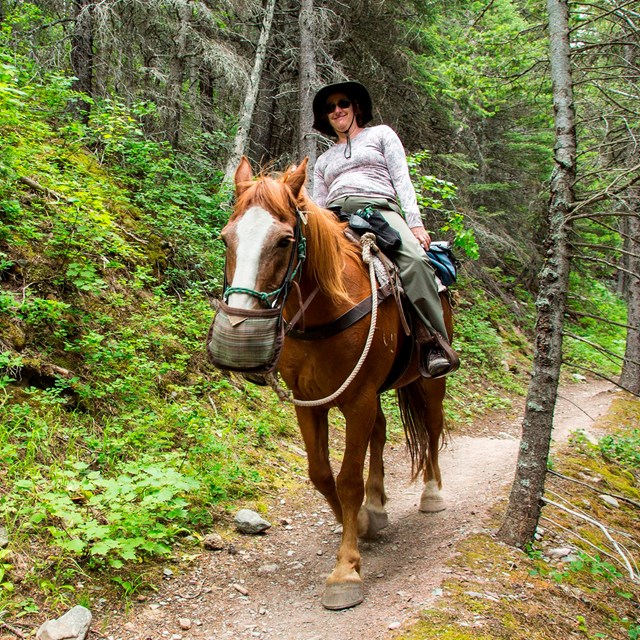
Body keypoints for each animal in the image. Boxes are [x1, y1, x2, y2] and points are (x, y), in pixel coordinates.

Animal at [212, 158, 452, 612]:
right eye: (226, 238)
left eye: (285, 241)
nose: (240, 330)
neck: (327, 307)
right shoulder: (309, 401)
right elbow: (322, 474)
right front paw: (360, 525)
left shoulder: (357, 401)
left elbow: (347, 480)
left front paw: (345, 571)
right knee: (381, 433)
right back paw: (377, 505)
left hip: (430, 381)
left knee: (431, 428)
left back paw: (432, 494)